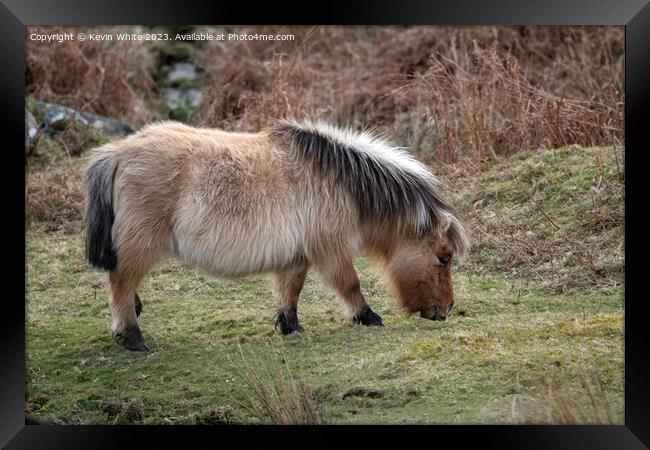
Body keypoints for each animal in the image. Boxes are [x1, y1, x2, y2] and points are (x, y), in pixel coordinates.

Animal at [83, 119, 468, 352]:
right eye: (443, 257)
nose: (448, 308)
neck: (340, 181)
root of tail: (117, 153)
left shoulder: (297, 257)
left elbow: (290, 290)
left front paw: (290, 326)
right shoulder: (331, 250)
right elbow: (350, 283)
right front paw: (367, 316)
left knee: (125, 286)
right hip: (140, 245)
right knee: (120, 283)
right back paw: (133, 337)